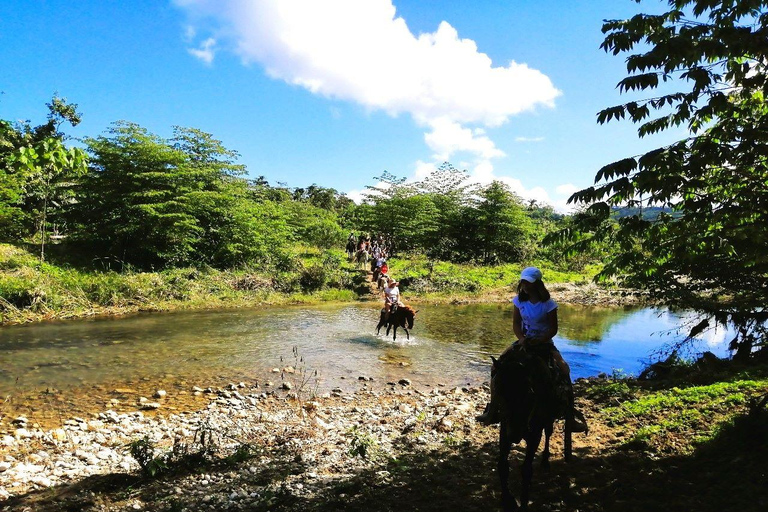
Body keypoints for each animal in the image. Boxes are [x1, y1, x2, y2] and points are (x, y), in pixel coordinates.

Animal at [492, 346, 568, 510]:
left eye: (530, 393)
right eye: (498, 389)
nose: (516, 434)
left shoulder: (534, 436)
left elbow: (526, 470)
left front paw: (524, 501)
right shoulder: (504, 432)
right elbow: (502, 466)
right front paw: (506, 499)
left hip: (548, 421)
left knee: (548, 434)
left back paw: (545, 461)